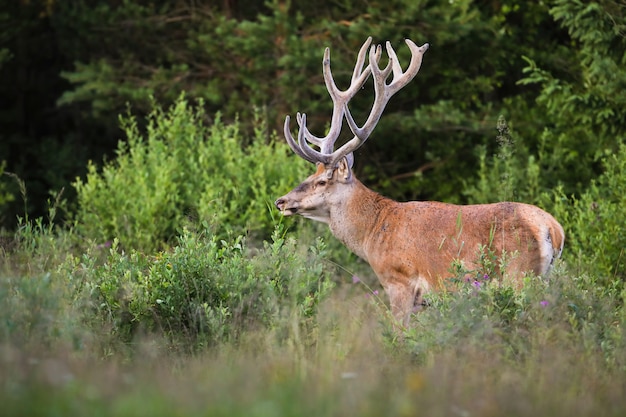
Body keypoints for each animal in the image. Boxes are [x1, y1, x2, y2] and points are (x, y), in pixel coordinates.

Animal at [276, 36, 564, 324]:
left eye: (322, 181)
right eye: (311, 175)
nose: (281, 201)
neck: (373, 234)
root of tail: (553, 229)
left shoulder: (400, 281)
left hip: (519, 274)